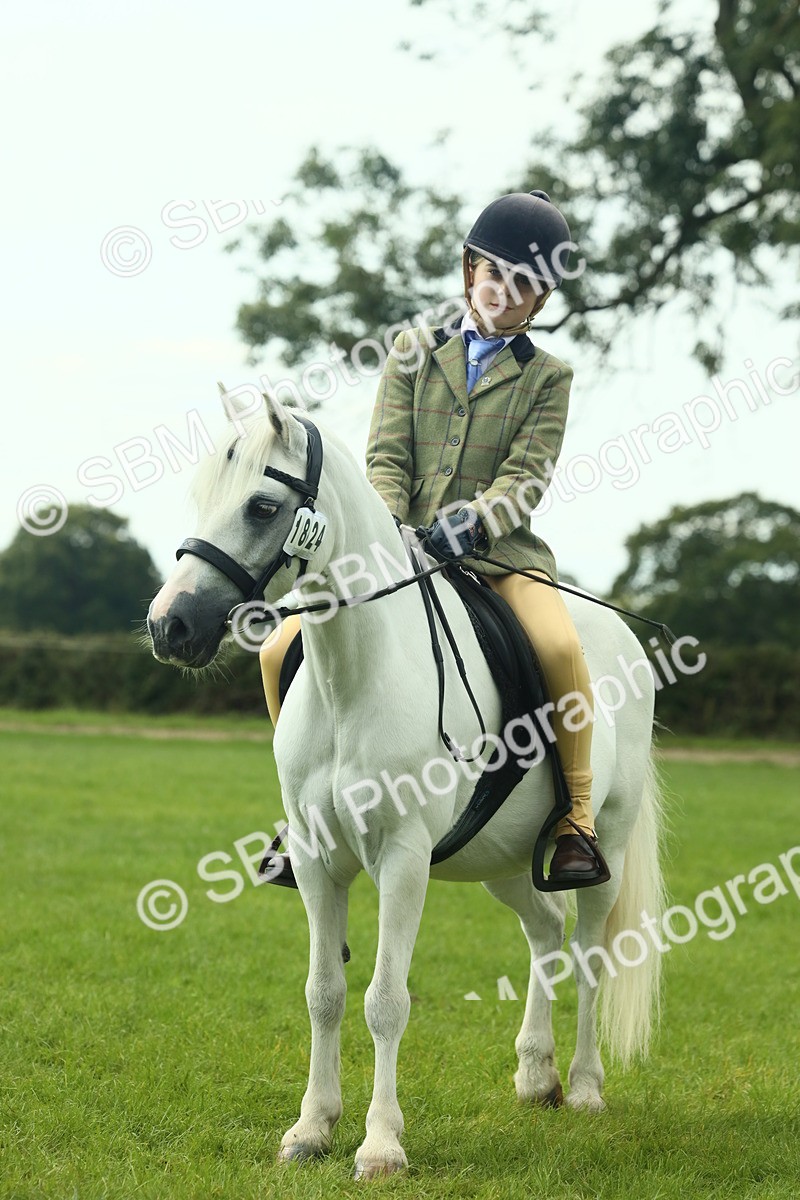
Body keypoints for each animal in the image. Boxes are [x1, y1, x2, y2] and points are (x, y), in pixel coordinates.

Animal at [147, 391, 666, 1180]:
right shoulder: (315, 861)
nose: (169, 626)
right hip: (501, 860)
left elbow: (385, 1000)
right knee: (544, 931)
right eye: (203, 496)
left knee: (587, 953)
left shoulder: (402, 858)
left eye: (263, 507)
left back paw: (581, 1087)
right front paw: (311, 1129)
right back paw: (535, 1074)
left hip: (605, 831)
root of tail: (620, 635)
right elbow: (324, 994)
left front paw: (382, 1145)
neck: (352, 677)